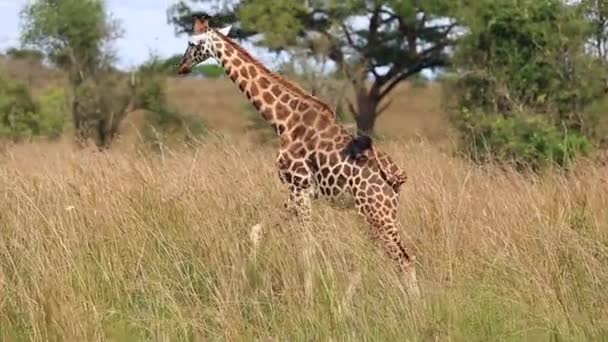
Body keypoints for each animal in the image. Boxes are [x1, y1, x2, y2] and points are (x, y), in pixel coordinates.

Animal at [178, 14, 420, 294]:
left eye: (191, 43)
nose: (181, 67)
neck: (283, 120)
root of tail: (397, 179)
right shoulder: (296, 192)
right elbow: (257, 231)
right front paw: (246, 279)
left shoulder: (299, 187)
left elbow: (306, 247)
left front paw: (308, 295)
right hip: (377, 214)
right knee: (390, 256)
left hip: (377, 212)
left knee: (404, 258)